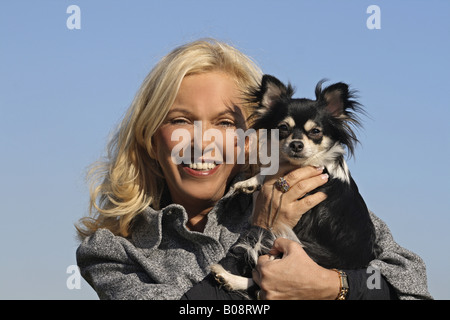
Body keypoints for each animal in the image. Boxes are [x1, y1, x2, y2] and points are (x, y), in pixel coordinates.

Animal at [209, 74, 378, 296]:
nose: (296, 144)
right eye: (283, 128)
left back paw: (229, 278)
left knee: (260, 279)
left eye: (315, 131)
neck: (297, 165)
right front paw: (250, 182)